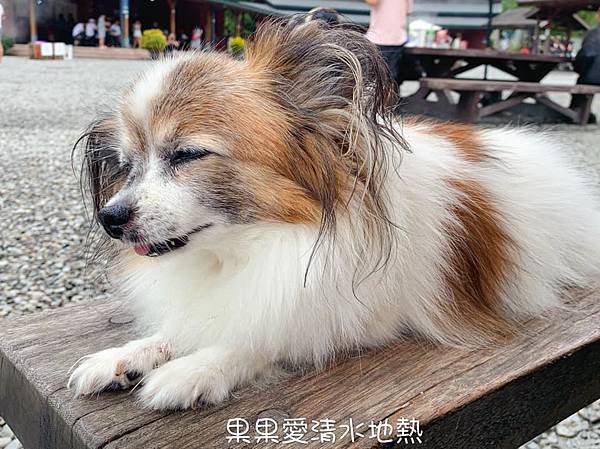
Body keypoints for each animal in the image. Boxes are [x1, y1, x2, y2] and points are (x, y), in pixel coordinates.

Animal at [68, 18, 600, 410]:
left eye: (187, 154)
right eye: (127, 165)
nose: (110, 218)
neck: (249, 248)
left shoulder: (360, 317)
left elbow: (267, 337)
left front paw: (197, 367)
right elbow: (191, 325)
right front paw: (131, 354)